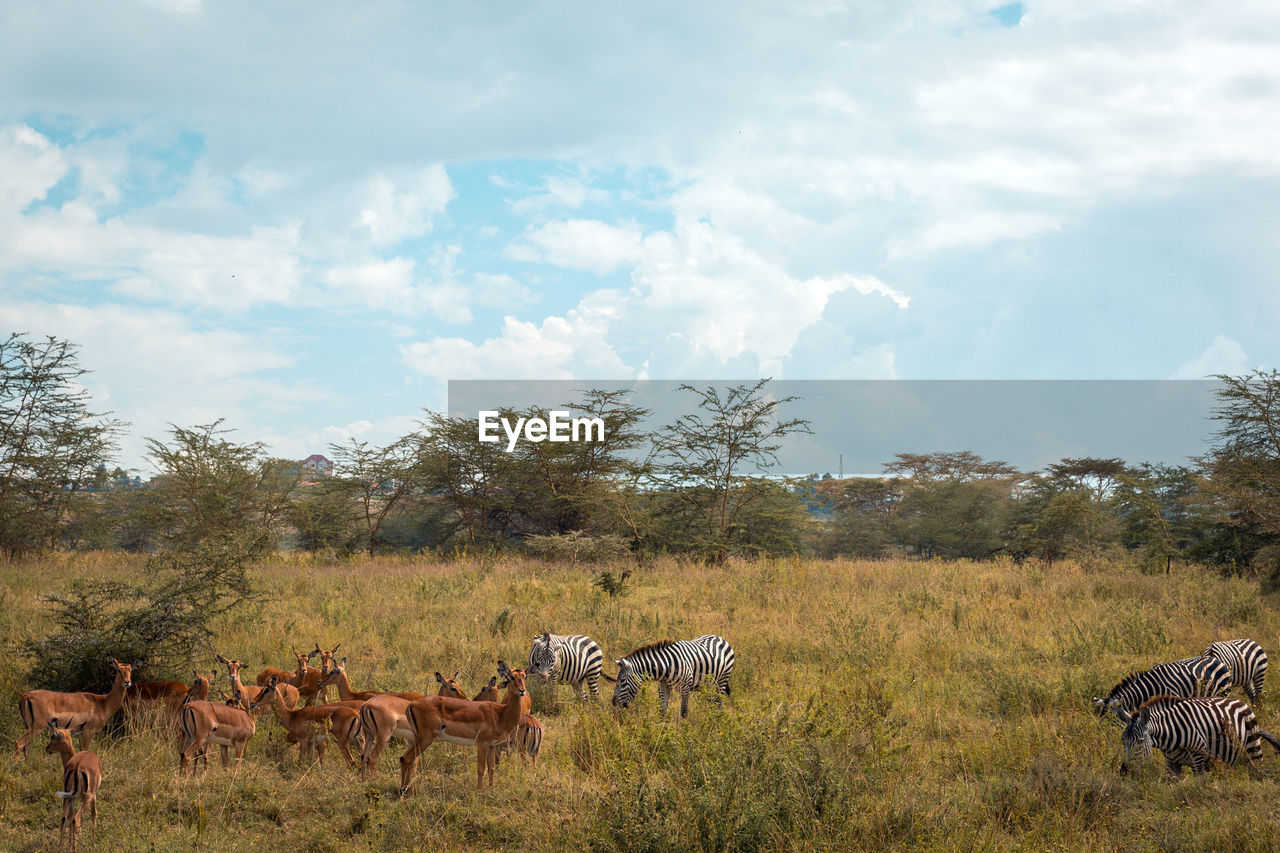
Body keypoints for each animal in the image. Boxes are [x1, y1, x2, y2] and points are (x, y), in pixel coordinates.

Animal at [45, 717, 101, 850]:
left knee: (64, 819)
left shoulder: (71, 797)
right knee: (76, 819)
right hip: (86, 797)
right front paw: (93, 841)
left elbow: (69, 818)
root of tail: (77, 766)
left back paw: (61, 849)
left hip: (68, 797)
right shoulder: (93, 795)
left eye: (52, 737)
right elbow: (94, 813)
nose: (47, 748)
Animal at [394, 655, 524, 788]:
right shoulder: (482, 743)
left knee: (405, 759)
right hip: (426, 738)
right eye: (512, 677)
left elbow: (491, 769)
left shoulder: (492, 745)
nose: (522, 690)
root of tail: (412, 704)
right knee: (406, 759)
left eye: (524, 676)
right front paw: (479, 790)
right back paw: (406, 790)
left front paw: (491, 789)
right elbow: (481, 769)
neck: (501, 713)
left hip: (416, 738)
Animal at [606, 630, 737, 717]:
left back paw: (717, 720)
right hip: (707, 684)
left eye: (622, 681)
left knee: (719, 701)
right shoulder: (663, 686)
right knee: (712, 701)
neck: (666, 667)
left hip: (722, 680)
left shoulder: (685, 689)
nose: (613, 703)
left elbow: (683, 712)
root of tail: (720, 637)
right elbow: (662, 711)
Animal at [1116, 696, 1280, 773]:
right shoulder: (1171, 763)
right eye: (1123, 741)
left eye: (1140, 741)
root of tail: (1242, 702)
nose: (1124, 771)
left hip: (1253, 747)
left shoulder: (1198, 760)